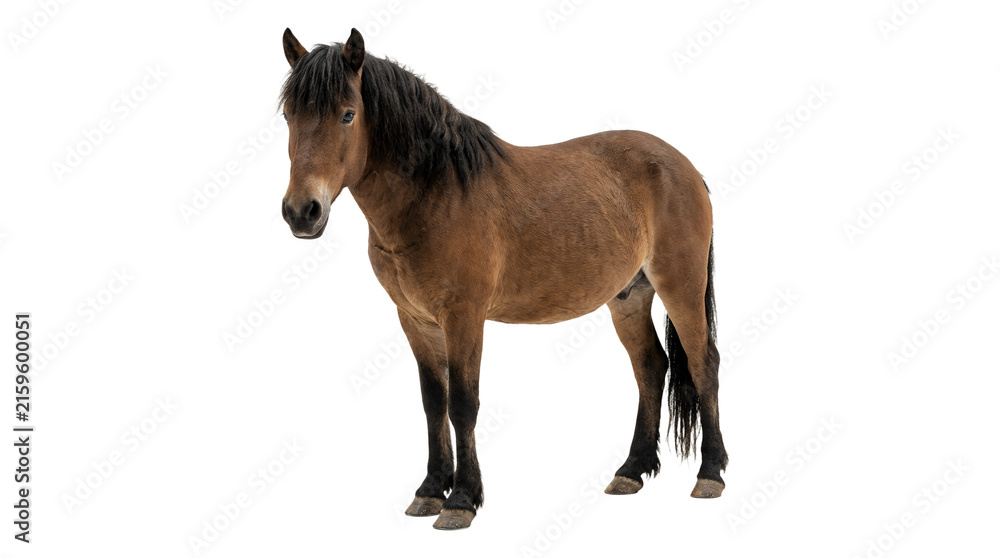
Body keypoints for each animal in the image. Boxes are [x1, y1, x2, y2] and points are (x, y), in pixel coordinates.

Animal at [278, 28, 728, 530]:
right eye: (289, 114)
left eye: (347, 114)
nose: (301, 212)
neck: (439, 192)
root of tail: (684, 166)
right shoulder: (415, 320)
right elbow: (433, 402)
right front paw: (430, 490)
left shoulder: (464, 317)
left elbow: (463, 404)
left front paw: (461, 500)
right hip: (629, 297)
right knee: (651, 367)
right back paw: (631, 470)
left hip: (680, 287)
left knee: (703, 364)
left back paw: (710, 474)